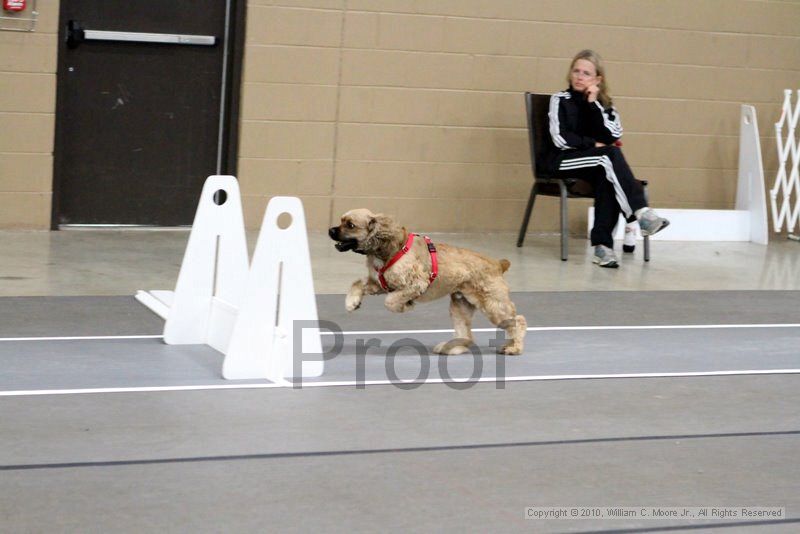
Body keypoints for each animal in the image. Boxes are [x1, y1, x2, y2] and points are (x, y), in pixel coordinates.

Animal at [328, 209, 528, 356]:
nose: (330, 230)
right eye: (341, 220)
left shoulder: (415, 284)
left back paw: (514, 348)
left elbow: (390, 301)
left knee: (518, 321)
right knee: (467, 335)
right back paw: (452, 348)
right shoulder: (377, 284)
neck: (389, 248)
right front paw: (352, 302)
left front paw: (404, 306)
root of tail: (498, 264)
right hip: (460, 306)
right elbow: (357, 284)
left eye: (350, 225)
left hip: (493, 304)